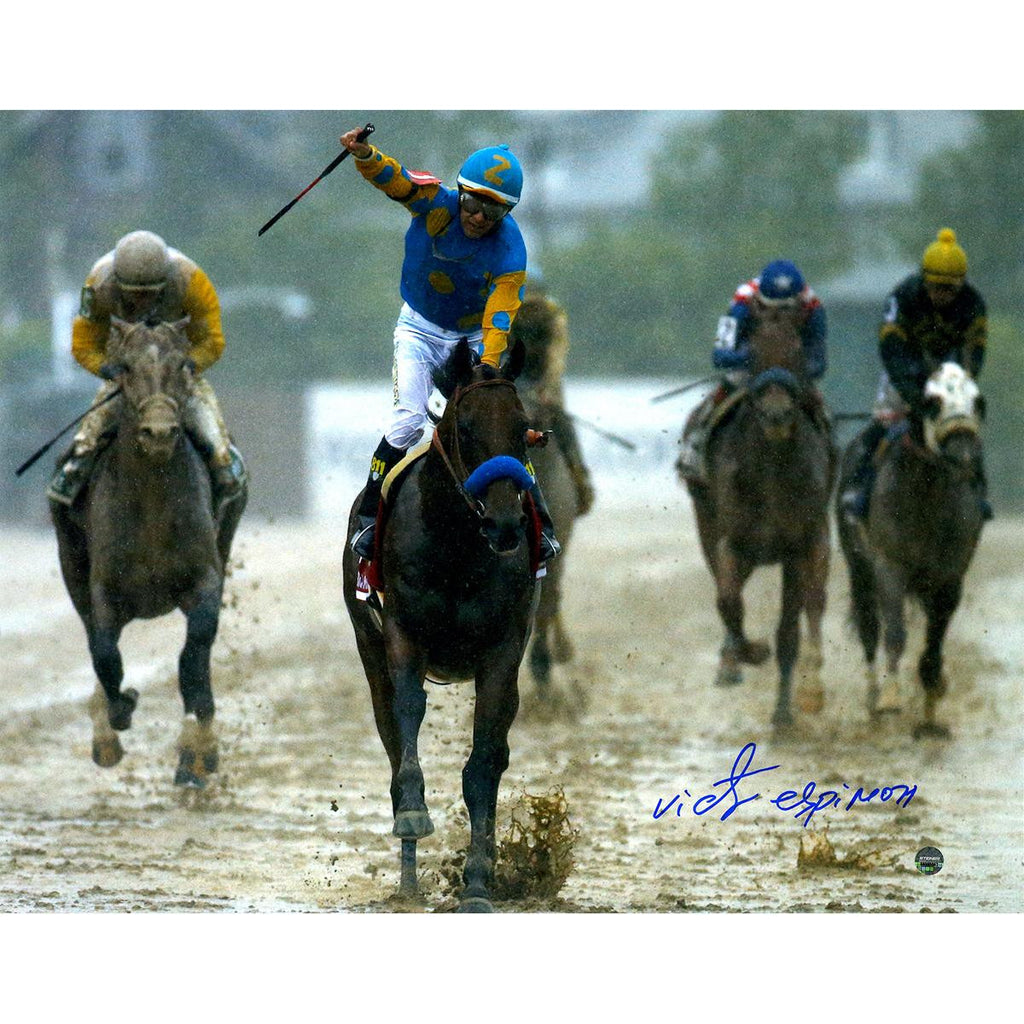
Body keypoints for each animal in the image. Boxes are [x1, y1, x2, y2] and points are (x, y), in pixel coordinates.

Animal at [49, 315, 245, 786]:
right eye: (123, 367)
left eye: (184, 365)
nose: (158, 432)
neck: (153, 506)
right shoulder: (103, 589)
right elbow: (104, 653)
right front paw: (118, 714)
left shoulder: (205, 580)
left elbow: (193, 659)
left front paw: (198, 753)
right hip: (71, 563)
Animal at [342, 339, 540, 917]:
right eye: (467, 429)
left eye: (524, 429)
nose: (505, 524)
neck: (456, 546)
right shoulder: (403, 633)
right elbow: (408, 718)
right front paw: (413, 814)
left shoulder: (503, 646)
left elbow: (484, 765)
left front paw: (477, 881)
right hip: (368, 645)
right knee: (391, 736)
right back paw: (407, 877)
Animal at [684, 311, 835, 729]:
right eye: (752, 351)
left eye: (798, 350)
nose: (777, 414)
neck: (771, 470)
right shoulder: (734, 542)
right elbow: (728, 602)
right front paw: (747, 654)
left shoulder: (798, 547)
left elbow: (792, 629)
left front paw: (795, 703)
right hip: (709, 523)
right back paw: (732, 659)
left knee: (810, 605)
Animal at [835, 360, 987, 737]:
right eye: (932, 402)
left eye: (978, 401)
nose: (965, 456)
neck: (929, 496)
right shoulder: (890, 564)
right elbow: (894, 633)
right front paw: (891, 697)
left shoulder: (950, 576)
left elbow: (934, 641)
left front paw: (932, 703)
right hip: (859, 569)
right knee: (869, 627)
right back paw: (874, 699)